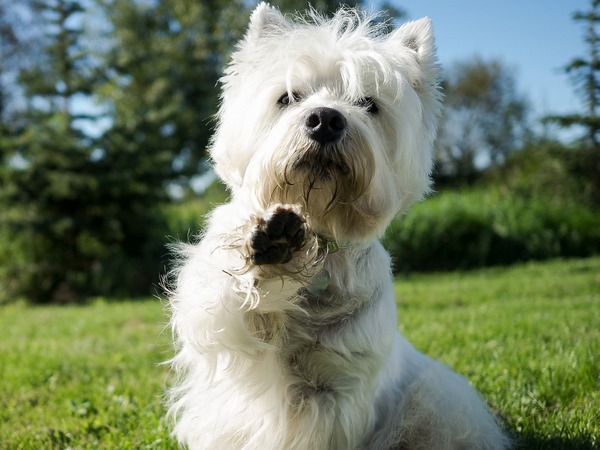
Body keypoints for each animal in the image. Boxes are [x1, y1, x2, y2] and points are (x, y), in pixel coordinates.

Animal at [168, 4, 510, 450]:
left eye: (368, 103)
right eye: (288, 97)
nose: (325, 119)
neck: (320, 239)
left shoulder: (336, 387)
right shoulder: (222, 327)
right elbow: (228, 300)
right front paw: (272, 245)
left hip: (436, 401)